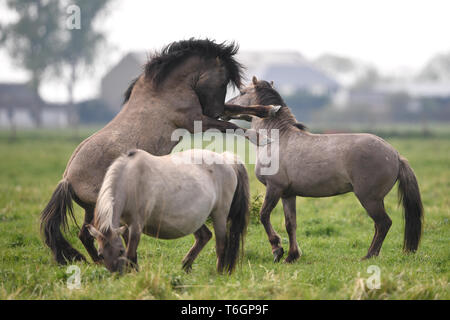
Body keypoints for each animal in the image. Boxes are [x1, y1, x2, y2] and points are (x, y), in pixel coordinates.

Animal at [39, 39, 278, 264]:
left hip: (92, 209)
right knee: (97, 233)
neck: (165, 90)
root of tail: (67, 179)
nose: (216, 109)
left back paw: (99, 261)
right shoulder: (198, 120)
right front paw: (261, 137)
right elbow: (233, 126)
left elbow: (239, 110)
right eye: (222, 80)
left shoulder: (208, 115)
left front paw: (270, 109)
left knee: (85, 234)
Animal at [227, 77, 424, 262]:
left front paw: (278, 251)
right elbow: (291, 224)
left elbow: (264, 215)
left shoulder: (274, 188)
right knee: (379, 225)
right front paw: (291, 256)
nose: (227, 106)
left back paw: (369, 255)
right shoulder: (288, 194)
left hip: (369, 198)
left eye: (243, 92)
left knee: (383, 223)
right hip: (375, 199)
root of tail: (395, 155)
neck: (277, 139)